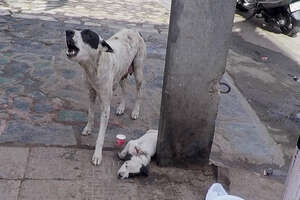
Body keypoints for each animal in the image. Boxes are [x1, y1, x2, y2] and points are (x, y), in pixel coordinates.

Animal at [65, 28, 146, 166]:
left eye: (87, 34)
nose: (68, 31)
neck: (93, 68)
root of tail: (135, 30)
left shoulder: (105, 108)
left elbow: (100, 137)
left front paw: (97, 155)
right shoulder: (91, 94)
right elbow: (90, 114)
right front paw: (88, 128)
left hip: (138, 71)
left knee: (139, 92)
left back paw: (135, 111)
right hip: (121, 74)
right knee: (124, 88)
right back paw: (121, 107)